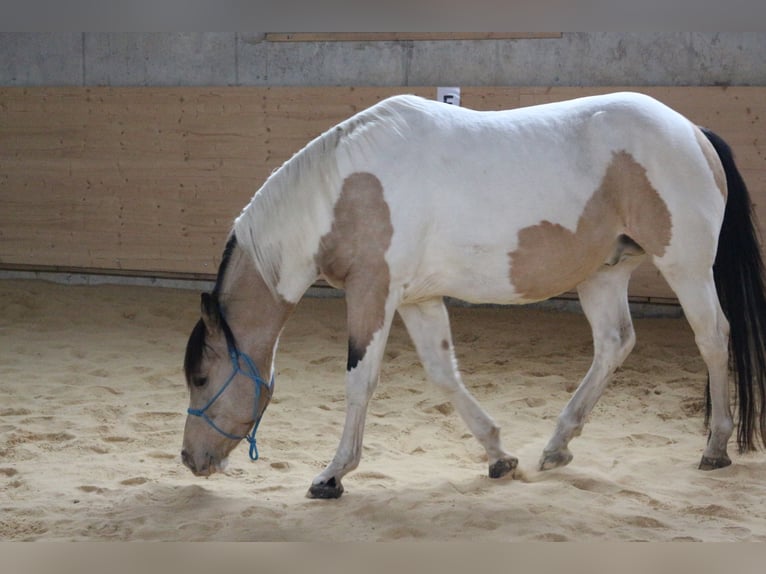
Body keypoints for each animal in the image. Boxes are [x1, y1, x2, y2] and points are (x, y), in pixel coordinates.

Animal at [181, 92, 766, 499]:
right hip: (605, 272)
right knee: (614, 344)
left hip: (685, 266)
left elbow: (359, 382)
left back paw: (715, 446)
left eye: (203, 377)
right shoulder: (415, 300)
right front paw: (498, 456)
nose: (190, 458)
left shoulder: (373, 294)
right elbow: (445, 375)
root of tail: (692, 132)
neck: (340, 192)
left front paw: (332, 475)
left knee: (712, 337)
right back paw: (557, 445)